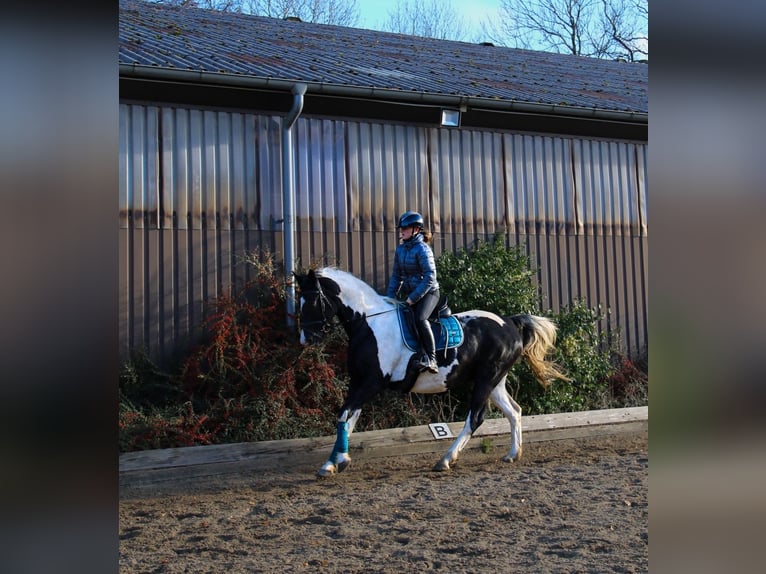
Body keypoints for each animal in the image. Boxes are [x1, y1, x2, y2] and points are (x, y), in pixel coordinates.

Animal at [294, 266, 570, 477]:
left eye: (313, 301)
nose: (306, 338)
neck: (369, 323)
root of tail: (509, 323)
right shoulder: (358, 382)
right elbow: (348, 418)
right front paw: (334, 461)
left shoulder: (371, 384)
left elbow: (344, 416)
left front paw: (336, 460)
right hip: (495, 382)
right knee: (514, 411)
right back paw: (512, 454)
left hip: (486, 380)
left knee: (476, 418)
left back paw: (446, 459)